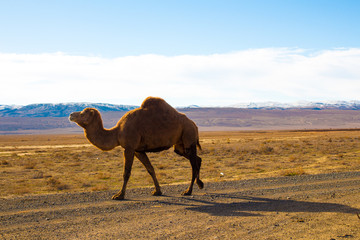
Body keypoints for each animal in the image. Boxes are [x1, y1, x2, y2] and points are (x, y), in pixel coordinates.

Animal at [67, 96, 202, 200]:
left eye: (83, 113)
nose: (71, 114)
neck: (117, 132)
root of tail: (194, 124)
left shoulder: (129, 147)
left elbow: (126, 172)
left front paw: (119, 195)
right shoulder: (138, 150)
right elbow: (150, 169)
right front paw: (157, 191)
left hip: (188, 136)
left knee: (193, 164)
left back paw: (188, 191)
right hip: (179, 145)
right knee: (197, 159)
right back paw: (199, 184)